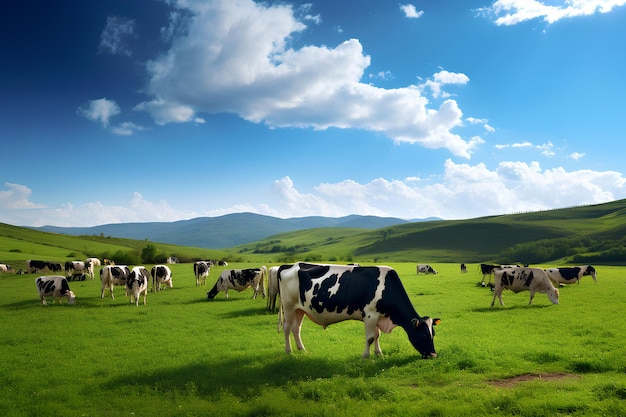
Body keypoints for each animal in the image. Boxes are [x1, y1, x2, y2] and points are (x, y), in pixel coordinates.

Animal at [278, 264, 438, 358]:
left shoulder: (377, 316)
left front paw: (379, 353)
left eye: (433, 333)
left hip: (300, 310)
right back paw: (288, 351)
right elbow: (370, 338)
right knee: (287, 328)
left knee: (296, 329)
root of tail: (290, 265)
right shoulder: (370, 314)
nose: (433, 354)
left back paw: (302, 350)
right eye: (424, 335)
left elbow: (377, 335)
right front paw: (366, 357)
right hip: (289, 307)